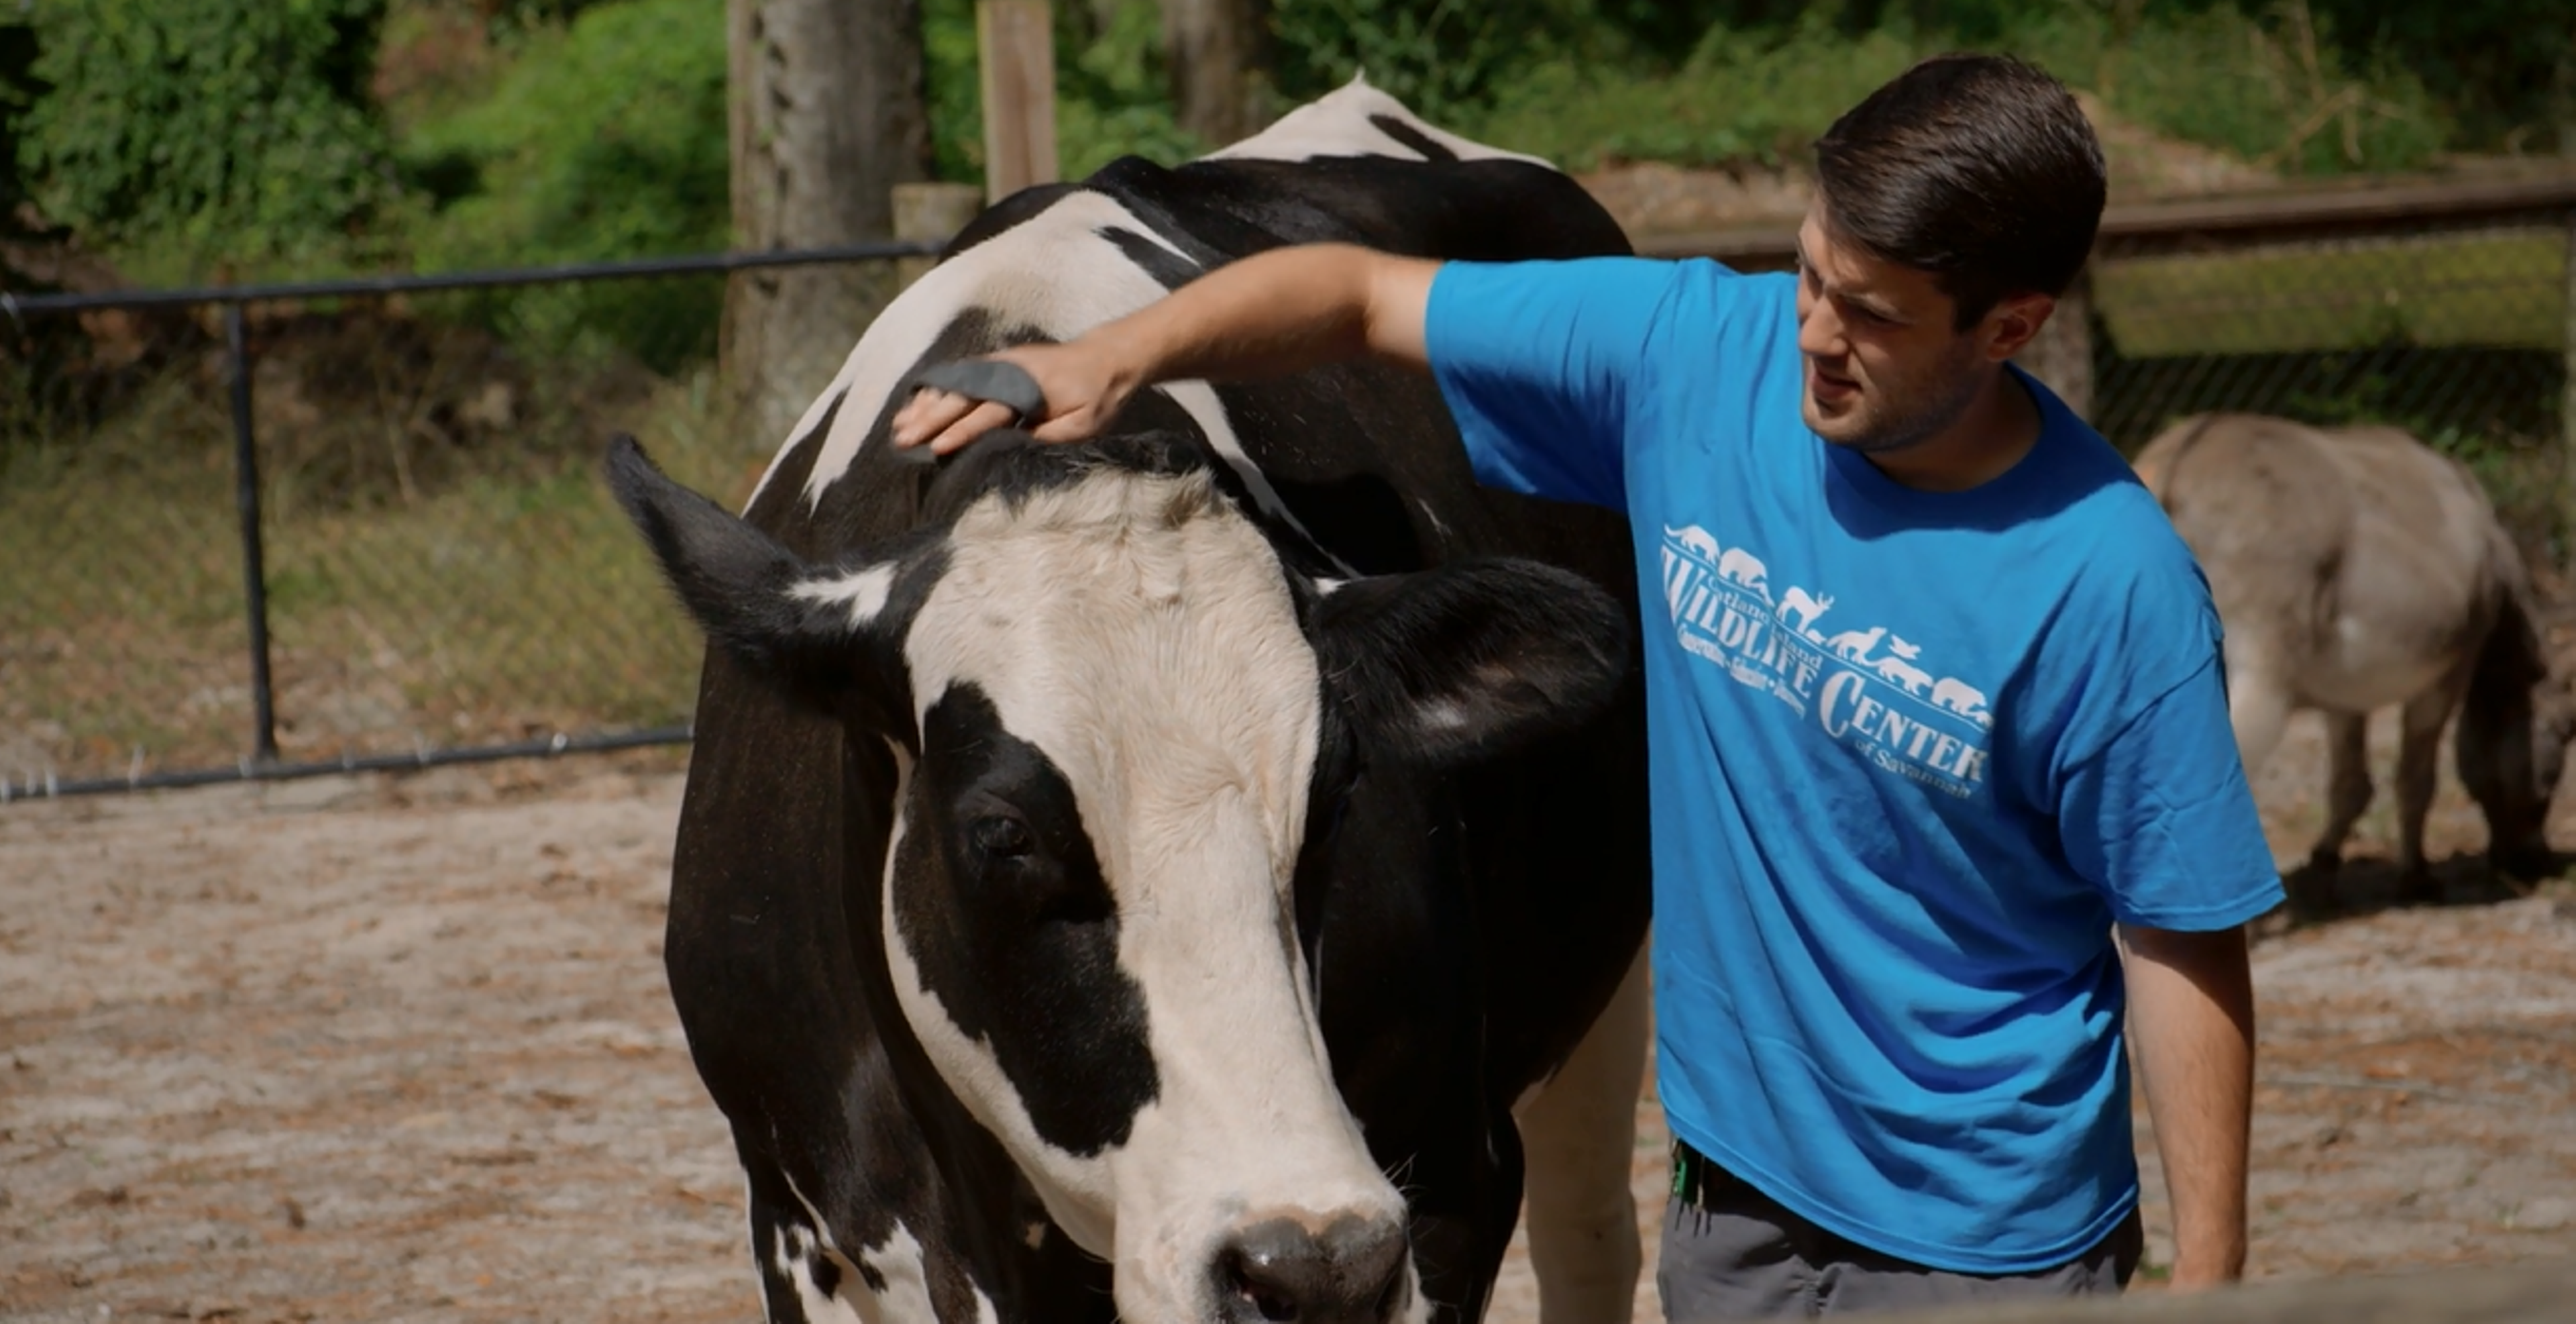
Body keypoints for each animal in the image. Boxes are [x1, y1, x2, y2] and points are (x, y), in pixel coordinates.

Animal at [605, 74, 1648, 1319]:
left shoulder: (1450, 1179)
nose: (1315, 1260)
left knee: (1592, 1235)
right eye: (1000, 833)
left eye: (1336, 801)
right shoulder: (803, 1224)